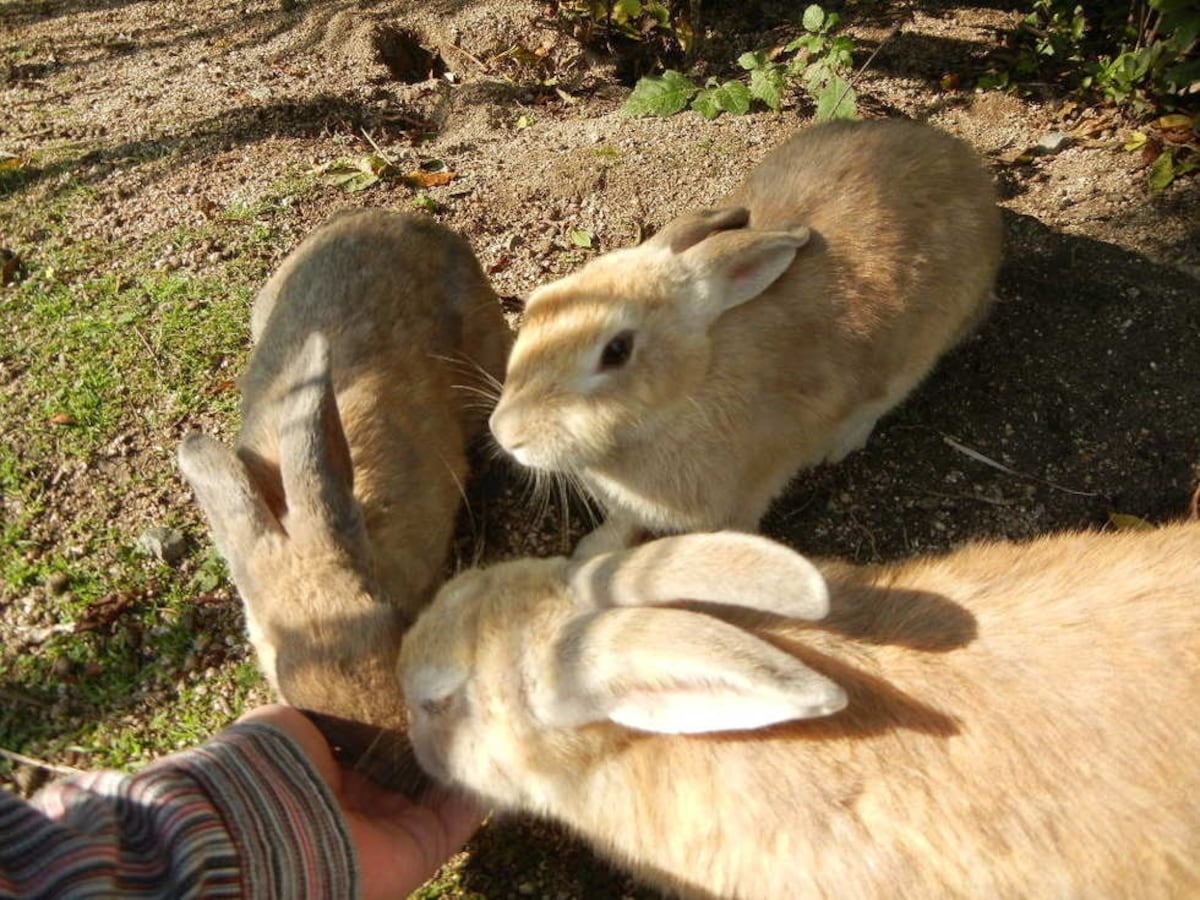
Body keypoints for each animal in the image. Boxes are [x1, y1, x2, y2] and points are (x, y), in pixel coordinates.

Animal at [487, 118, 1003, 556]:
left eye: (616, 351)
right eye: (538, 303)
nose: (505, 434)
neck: (688, 393)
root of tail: (966, 166)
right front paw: (590, 553)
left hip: (920, 346)